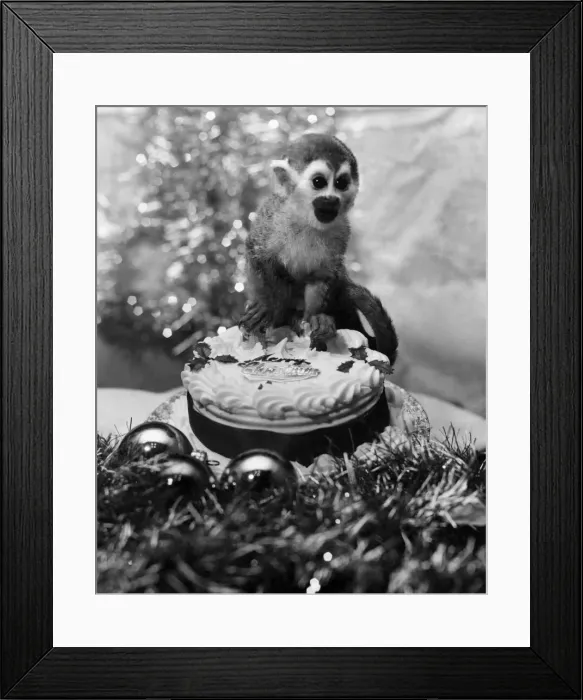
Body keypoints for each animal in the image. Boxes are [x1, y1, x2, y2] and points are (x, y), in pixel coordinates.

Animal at [239, 132, 398, 365]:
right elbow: (257, 254)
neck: (305, 219)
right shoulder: (271, 215)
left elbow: (323, 275)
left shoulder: (342, 230)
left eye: (341, 183)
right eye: (319, 182)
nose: (331, 199)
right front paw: (267, 306)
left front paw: (316, 319)